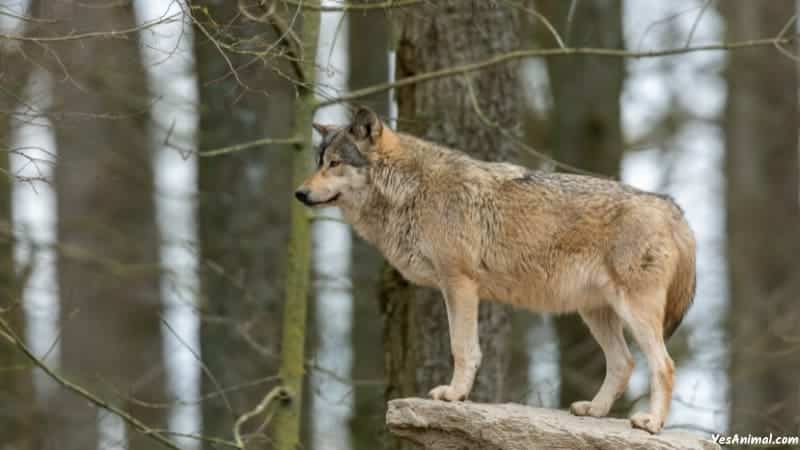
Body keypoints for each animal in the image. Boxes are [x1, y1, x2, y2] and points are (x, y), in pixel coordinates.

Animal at [294, 106, 692, 432]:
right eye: (318, 161)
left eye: (335, 163)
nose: (299, 193)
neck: (410, 189)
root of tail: (672, 208)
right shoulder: (453, 288)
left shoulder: (459, 284)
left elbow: (462, 348)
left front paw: (454, 395)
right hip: (595, 313)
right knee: (624, 363)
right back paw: (594, 410)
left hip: (633, 312)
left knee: (665, 366)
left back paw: (651, 423)